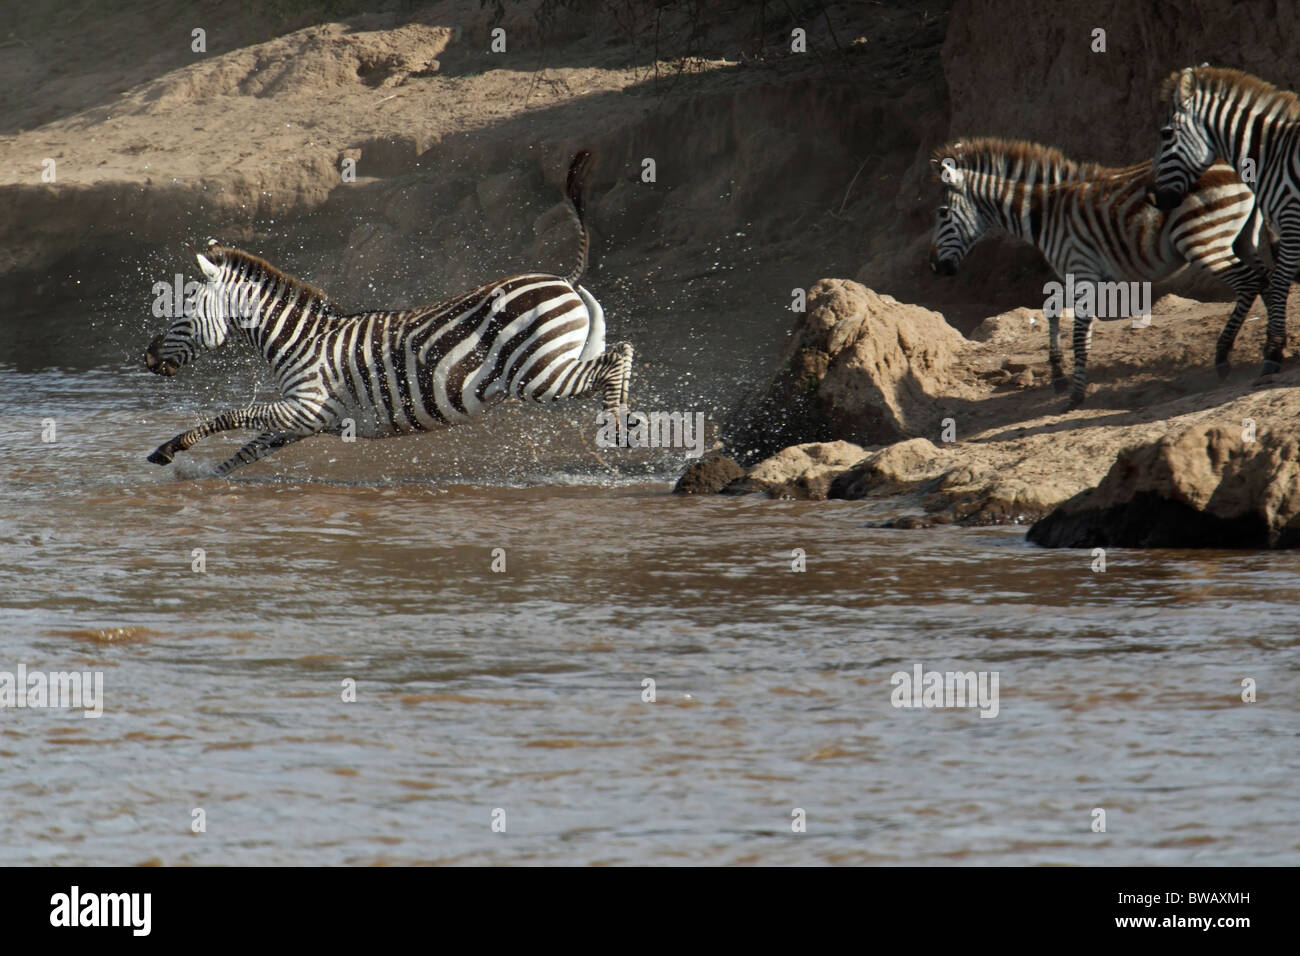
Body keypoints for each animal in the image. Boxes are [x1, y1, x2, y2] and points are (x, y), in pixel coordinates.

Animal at [143, 149, 633, 476]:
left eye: (183, 312)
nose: (147, 359)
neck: (298, 339)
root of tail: (564, 279)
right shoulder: (301, 420)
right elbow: (246, 451)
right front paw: (205, 479)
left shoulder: (306, 406)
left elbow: (230, 417)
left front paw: (168, 451)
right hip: (558, 360)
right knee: (619, 355)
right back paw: (628, 423)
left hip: (537, 373)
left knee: (617, 357)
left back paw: (616, 427)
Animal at [930, 137, 1272, 407]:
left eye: (943, 213)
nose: (935, 268)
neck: (1045, 213)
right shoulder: (1084, 274)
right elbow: (1051, 309)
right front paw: (1059, 375)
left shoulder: (1081, 270)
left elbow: (1080, 333)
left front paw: (1076, 395)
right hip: (1242, 239)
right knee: (1268, 281)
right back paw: (1272, 351)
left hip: (1203, 240)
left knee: (1250, 282)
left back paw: (1224, 356)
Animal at [1152, 66, 1300, 376]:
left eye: (1167, 133)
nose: (1158, 200)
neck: (1271, 155)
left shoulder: (1291, 218)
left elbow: (1281, 280)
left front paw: (1273, 352)